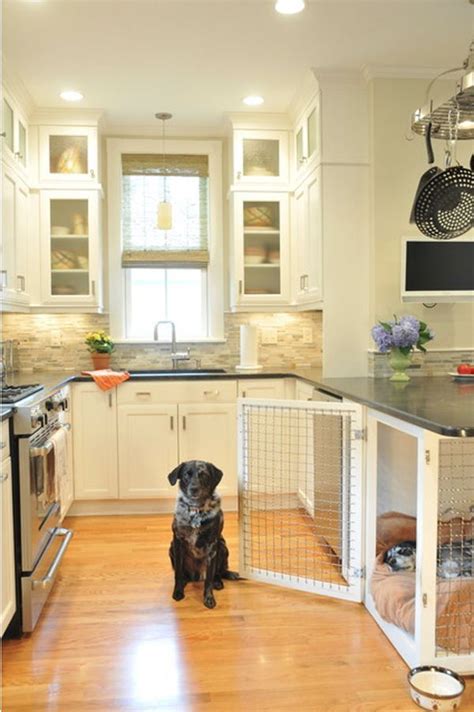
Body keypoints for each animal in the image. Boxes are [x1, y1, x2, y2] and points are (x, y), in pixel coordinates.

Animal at [168, 462, 241, 608]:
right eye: (186, 474)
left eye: (204, 475)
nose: (194, 489)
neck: (196, 510)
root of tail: (197, 576)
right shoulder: (177, 542)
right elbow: (178, 573)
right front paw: (178, 591)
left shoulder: (212, 545)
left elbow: (209, 579)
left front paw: (209, 598)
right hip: (171, 548)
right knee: (183, 574)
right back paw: (185, 581)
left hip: (223, 547)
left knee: (218, 572)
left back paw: (218, 581)